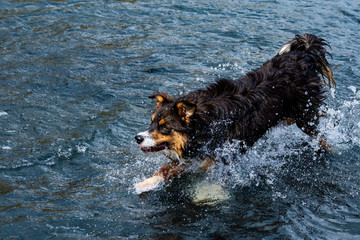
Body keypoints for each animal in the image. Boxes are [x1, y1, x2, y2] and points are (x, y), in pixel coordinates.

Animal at [134, 33, 334, 192]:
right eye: (151, 122)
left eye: (164, 127)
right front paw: (146, 183)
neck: (206, 123)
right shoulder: (196, 154)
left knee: (321, 134)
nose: (137, 138)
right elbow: (166, 169)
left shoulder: (224, 155)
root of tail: (302, 55)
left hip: (305, 116)